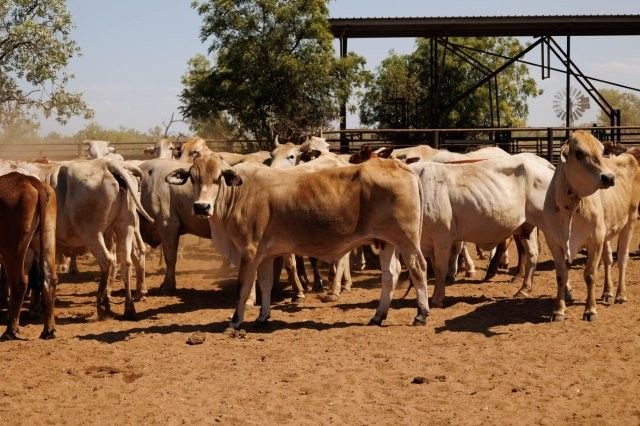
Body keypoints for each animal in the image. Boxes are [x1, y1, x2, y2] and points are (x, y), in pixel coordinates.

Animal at [0, 173, 57, 340]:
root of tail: (30, 180)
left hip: (13, 247)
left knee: (19, 283)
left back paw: (10, 330)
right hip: (46, 237)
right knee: (50, 280)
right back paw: (48, 330)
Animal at [167, 154, 430, 330]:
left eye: (218, 178)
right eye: (193, 178)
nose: (201, 207)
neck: (241, 193)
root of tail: (398, 164)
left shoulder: (249, 251)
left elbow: (243, 286)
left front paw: (235, 321)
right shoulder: (265, 254)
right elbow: (265, 284)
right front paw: (262, 317)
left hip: (407, 240)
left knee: (418, 269)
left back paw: (421, 314)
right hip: (386, 242)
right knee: (390, 275)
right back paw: (378, 316)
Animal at [544, 131, 640, 322]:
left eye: (602, 151)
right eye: (579, 153)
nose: (609, 177)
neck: (571, 204)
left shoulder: (595, 239)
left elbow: (590, 274)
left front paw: (590, 310)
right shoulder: (554, 242)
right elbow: (561, 275)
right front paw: (558, 310)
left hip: (630, 220)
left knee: (622, 259)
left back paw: (620, 295)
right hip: (606, 232)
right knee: (608, 259)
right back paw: (607, 292)